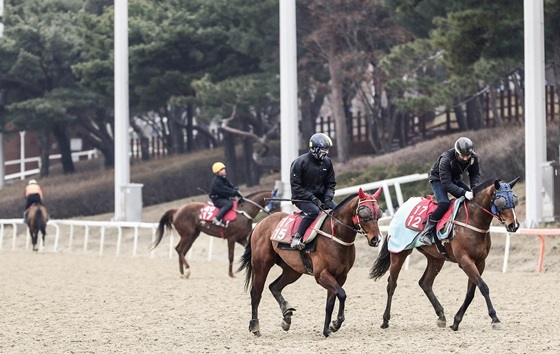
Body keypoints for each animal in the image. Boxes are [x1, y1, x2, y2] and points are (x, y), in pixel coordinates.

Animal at [236, 188, 384, 338]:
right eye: (364, 212)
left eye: (378, 212)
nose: (375, 239)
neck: (335, 236)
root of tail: (260, 223)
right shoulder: (321, 275)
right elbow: (342, 294)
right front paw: (336, 323)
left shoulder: (340, 276)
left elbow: (331, 303)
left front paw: (327, 329)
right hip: (261, 265)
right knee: (256, 294)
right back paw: (255, 326)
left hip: (292, 271)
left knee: (274, 287)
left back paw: (287, 316)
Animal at [372, 178, 520, 330]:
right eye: (501, 201)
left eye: (514, 200)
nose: (513, 225)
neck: (473, 220)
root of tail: (399, 210)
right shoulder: (465, 260)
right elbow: (483, 287)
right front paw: (495, 318)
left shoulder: (480, 262)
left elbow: (471, 292)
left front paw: (456, 321)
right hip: (399, 253)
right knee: (392, 284)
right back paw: (385, 320)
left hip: (436, 259)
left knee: (425, 283)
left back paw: (441, 316)